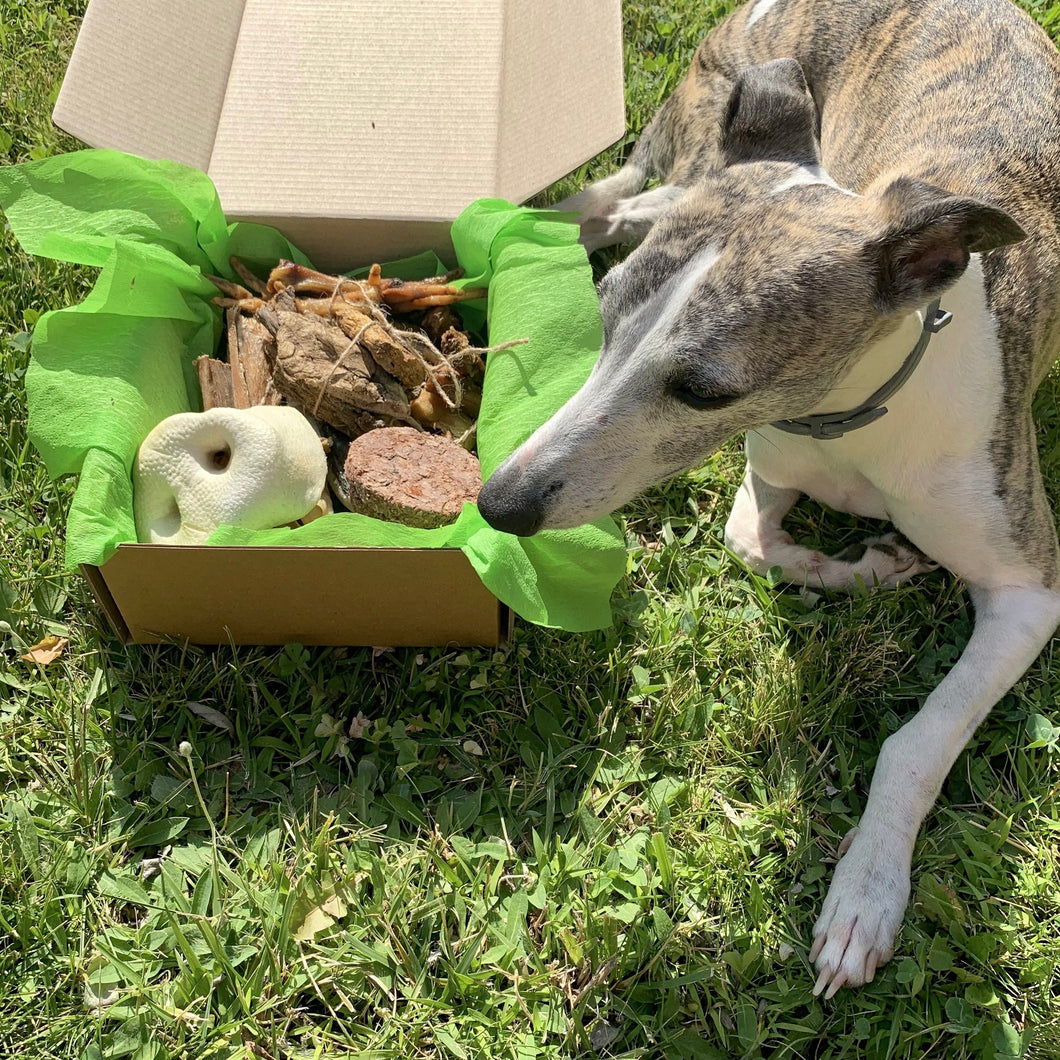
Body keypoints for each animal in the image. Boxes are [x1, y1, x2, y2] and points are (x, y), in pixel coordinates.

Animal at [476, 0, 1060, 992]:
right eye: (605, 317)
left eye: (704, 390)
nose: (498, 506)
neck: (857, 412)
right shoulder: (772, 466)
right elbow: (751, 541)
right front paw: (871, 565)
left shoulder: (1029, 588)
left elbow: (919, 738)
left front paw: (867, 893)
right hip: (695, 156)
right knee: (608, 202)